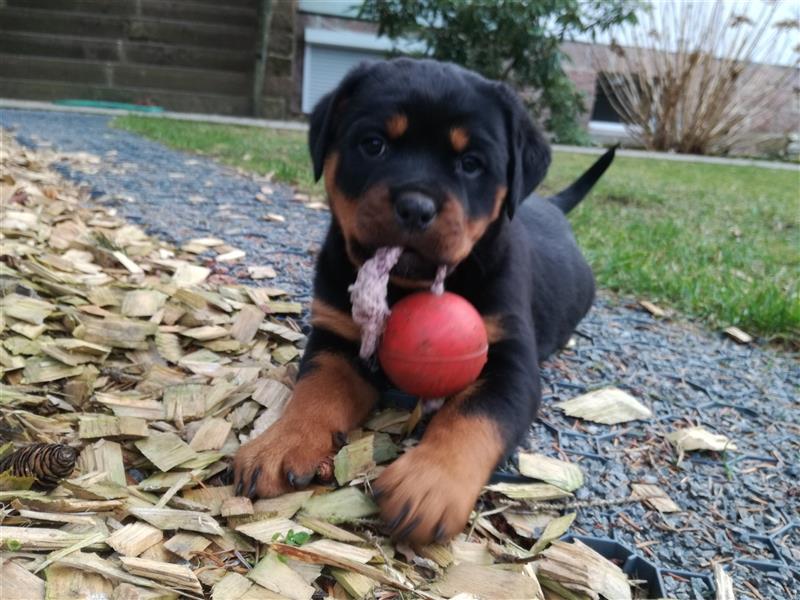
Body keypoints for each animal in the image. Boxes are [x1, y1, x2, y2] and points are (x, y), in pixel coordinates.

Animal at [234, 58, 616, 548]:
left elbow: (473, 414)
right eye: (373, 144)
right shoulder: (337, 339)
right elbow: (315, 391)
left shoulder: (512, 365)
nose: (416, 207)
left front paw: (429, 482)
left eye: (471, 163)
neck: (402, 285)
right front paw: (280, 443)